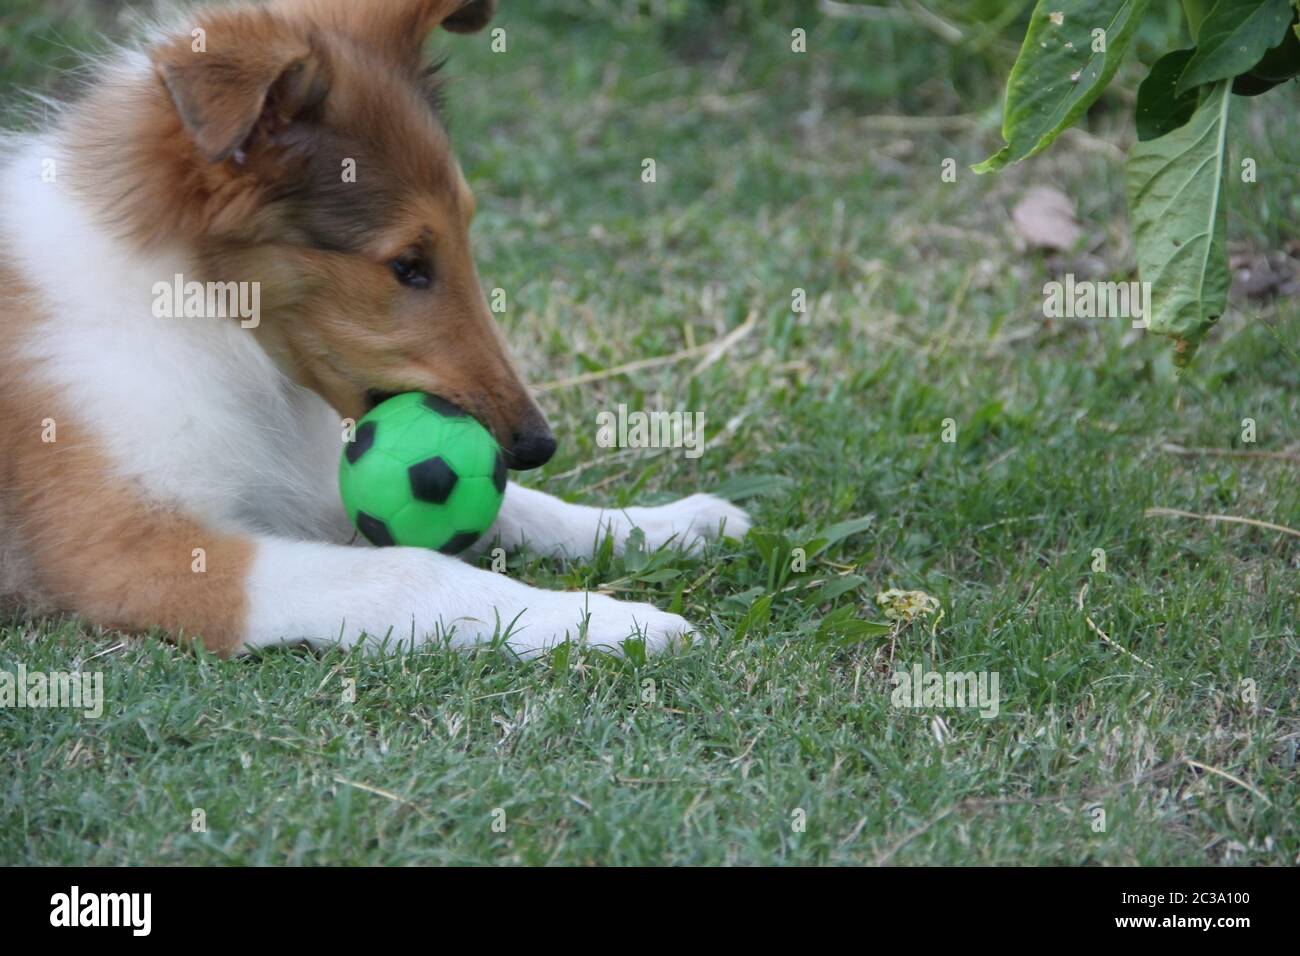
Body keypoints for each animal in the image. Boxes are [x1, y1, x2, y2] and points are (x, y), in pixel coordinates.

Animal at [0, 0, 754, 658]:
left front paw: (667, 523)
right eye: (407, 265)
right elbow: (408, 570)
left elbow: (518, 508)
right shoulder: (129, 553)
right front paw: (622, 622)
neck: (194, 307)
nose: (537, 444)